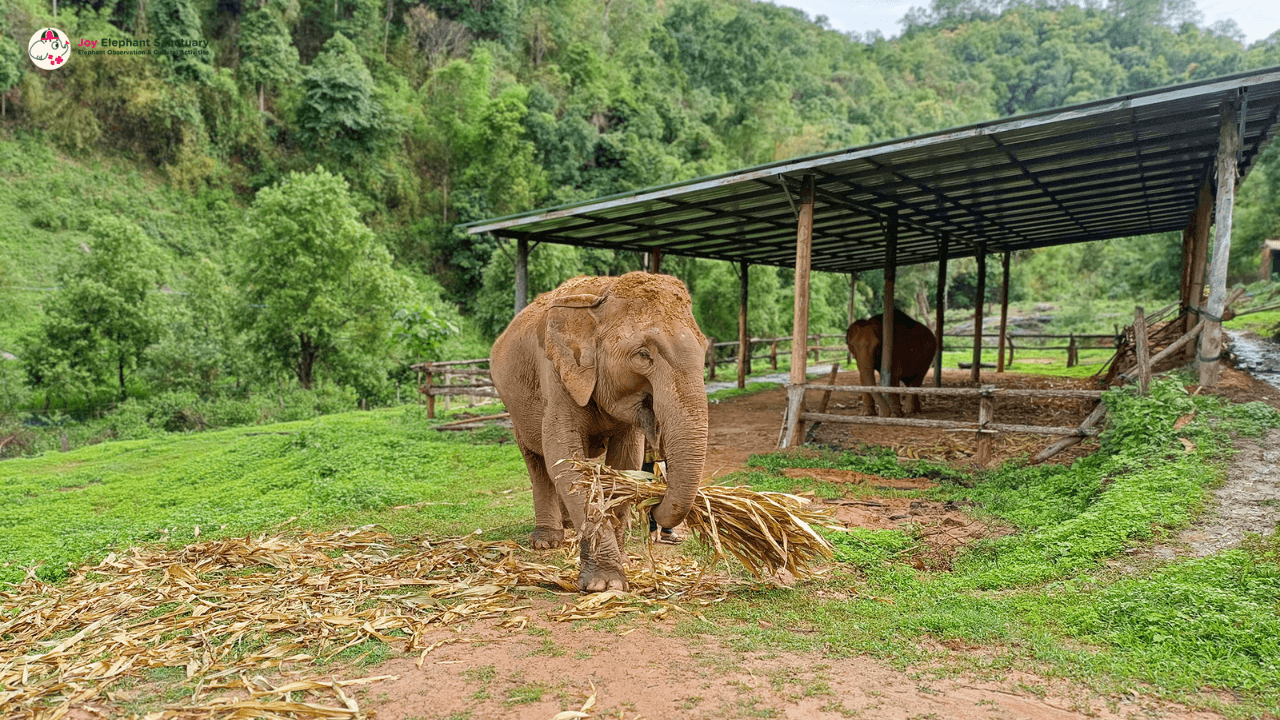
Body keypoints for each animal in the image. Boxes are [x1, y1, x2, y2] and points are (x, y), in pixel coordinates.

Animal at [489, 272, 710, 592]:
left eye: (705, 350)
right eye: (643, 354)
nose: (654, 505)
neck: (603, 292)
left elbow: (625, 463)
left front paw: (623, 563)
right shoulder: (556, 374)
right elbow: (565, 460)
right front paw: (605, 584)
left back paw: (569, 526)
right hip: (513, 407)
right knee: (536, 460)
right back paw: (547, 541)